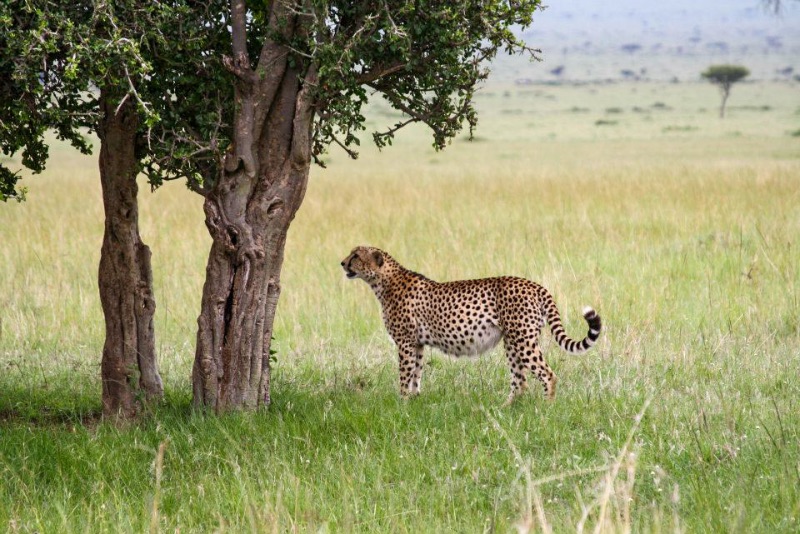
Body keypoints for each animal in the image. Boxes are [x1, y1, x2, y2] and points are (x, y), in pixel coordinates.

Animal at [340, 247, 604, 406]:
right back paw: (506, 407)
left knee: (547, 375)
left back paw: (547, 407)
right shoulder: (417, 344)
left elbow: (405, 374)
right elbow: (416, 373)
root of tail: (534, 284)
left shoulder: (405, 342)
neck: (383, 280)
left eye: (356, 255)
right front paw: (414, 401)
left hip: (523, 340)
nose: (342, 263)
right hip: (513, 341)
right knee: (520, 381)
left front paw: (402, 402)